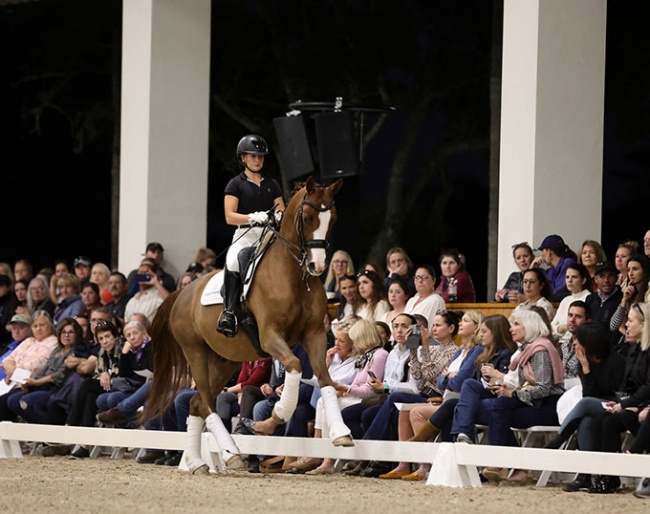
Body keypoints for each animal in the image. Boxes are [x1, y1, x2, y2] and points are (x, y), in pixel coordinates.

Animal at [142, 176, 352, 472]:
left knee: (196, 403)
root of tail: (182, 293)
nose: (317, 266)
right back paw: (230, 454)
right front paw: (276, 416)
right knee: (206, 404)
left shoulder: (314, 335)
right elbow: (295, 365)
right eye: (308, 217)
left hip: (224, 360)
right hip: (195, 351)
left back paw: (198, 462)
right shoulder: (270, 336)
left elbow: (324, 378)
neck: (293, 278)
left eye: (332, 218)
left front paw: (341, 433)